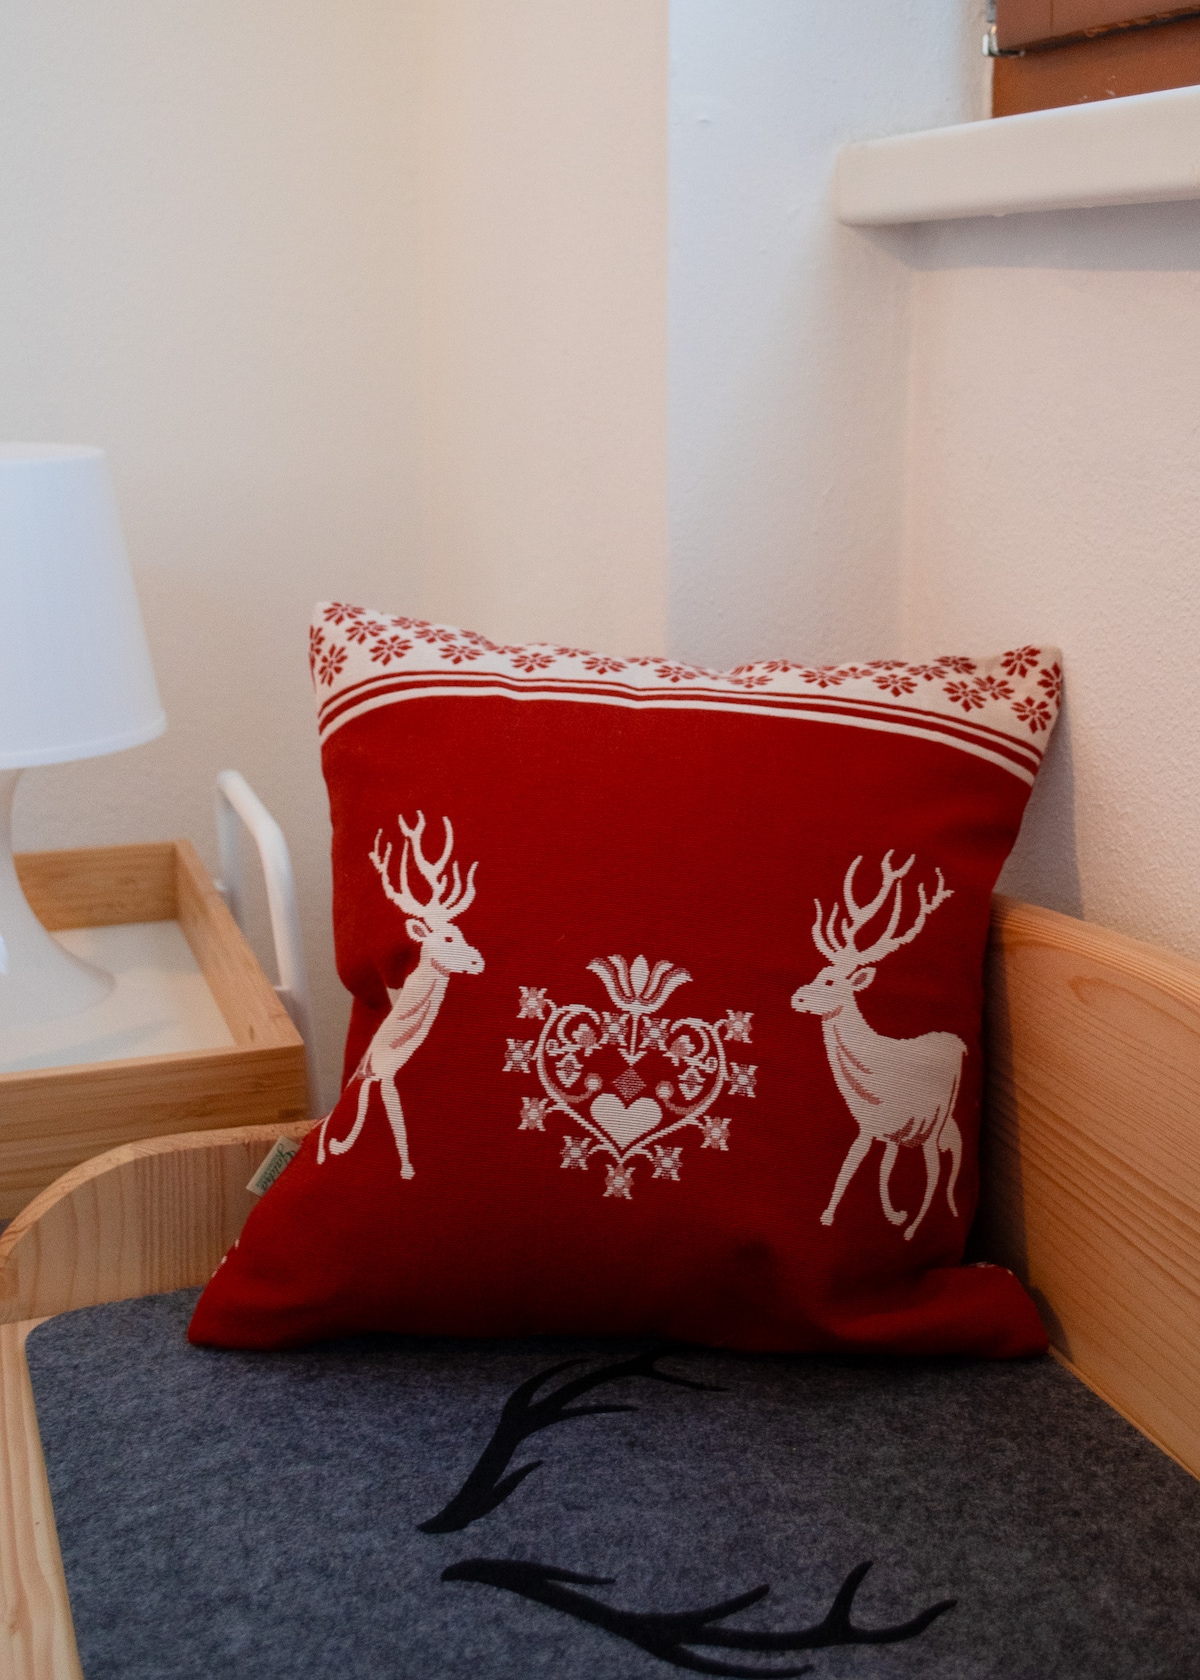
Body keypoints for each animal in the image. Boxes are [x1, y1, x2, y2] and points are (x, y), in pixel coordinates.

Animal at [318, 811, 483, 1179]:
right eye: (448, 938)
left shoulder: (381, 1076)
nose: (479, 961)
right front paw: (405, 1169)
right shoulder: (386, 1076)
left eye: (461, 931)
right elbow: (397, 1124)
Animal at [790, 852, 964, 1242]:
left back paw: (913, 1231)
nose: (797, 998)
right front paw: (892, 1214)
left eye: (830, 980)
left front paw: (828, 1219)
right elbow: (879, 1167)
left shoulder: (878, 1125)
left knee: (935, 1171)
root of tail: (961, 1044)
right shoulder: (885, 1129)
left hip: (938, 1122)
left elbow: (852, 1165)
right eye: (819, 971)